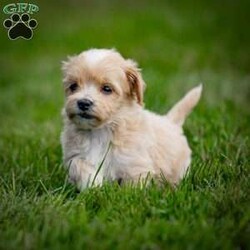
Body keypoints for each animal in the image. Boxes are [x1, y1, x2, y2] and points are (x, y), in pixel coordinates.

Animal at [61, 48, 203, 189]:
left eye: (107, 88)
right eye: (73, 86)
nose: (83, 103)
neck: (101, 131)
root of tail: (171, 121)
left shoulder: (134, 164)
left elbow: (132, 188)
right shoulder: (75, 155)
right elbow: (79, 167)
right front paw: (93, 186)